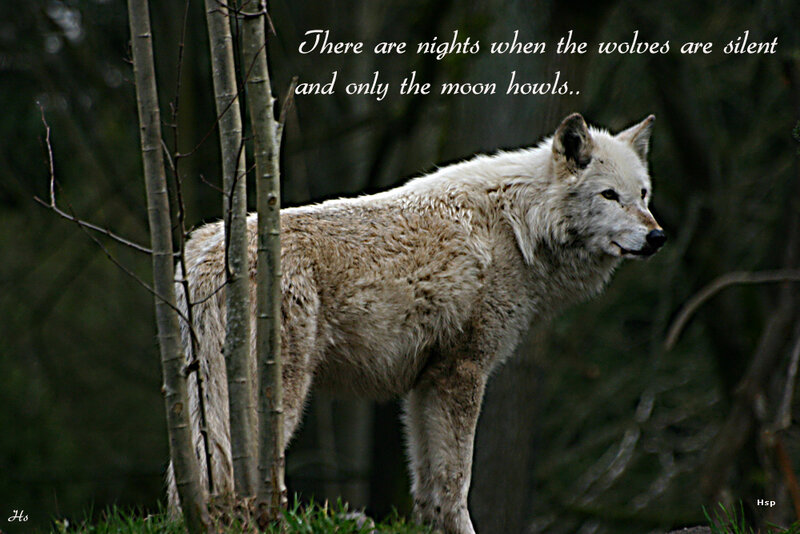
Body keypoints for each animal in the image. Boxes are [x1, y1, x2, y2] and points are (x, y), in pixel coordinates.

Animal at [166, 113, 664, 534]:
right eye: (609, 195)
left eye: (642, 194)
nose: (657, 236)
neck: (519, 226)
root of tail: (205, 257)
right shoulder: (464, 372)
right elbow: (456, 479)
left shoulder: (426, 382)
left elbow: (429, 485)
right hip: (279, 394)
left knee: (186, 474)